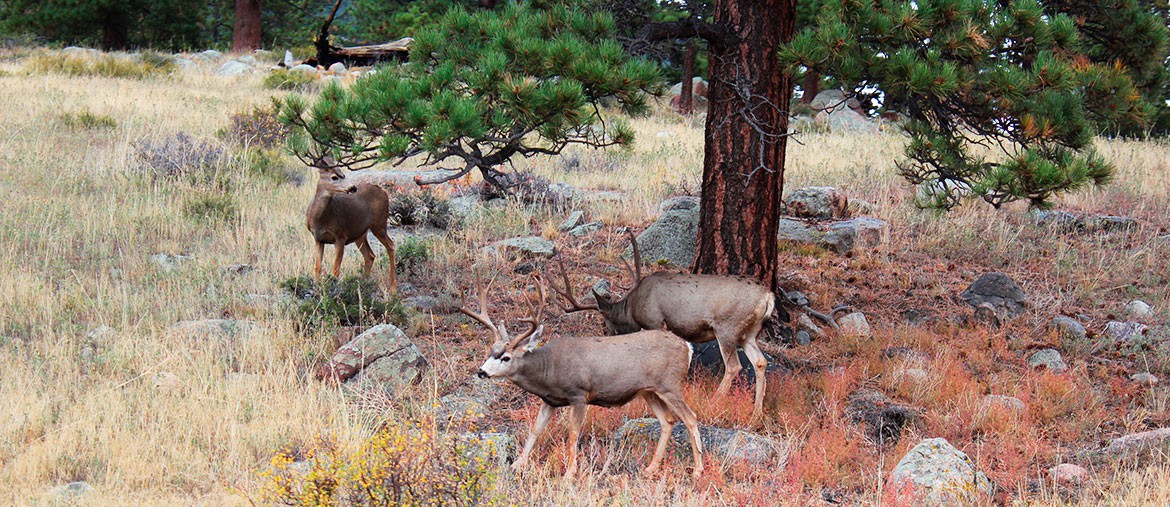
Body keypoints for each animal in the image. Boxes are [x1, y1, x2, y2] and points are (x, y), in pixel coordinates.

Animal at [306, 160, 397, 290]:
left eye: (343, 174)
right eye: (334, 177)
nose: (353, 187)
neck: (320, 219)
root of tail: (383, 191)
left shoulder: (340, 236)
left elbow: (335, 269)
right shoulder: (318, 239)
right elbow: (317, 267)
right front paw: (317, 288)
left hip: (379, 224)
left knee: (390, 245)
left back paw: (393, 288)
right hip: (360, 233)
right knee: (370, 255)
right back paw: (364, 283)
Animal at [460, 275, 702, 475]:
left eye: (506, 357)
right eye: (491, 351)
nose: (481, 372)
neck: (549, 370)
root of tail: (687, 347)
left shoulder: (578, 394)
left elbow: (573, 432)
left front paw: (570, 473)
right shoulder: (550, 400)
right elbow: (536, 429)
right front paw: (518, 464)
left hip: (670, 384)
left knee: (690, 417)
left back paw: (698, 470)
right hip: (649, 391)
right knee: (668, 421)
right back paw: (651, 468)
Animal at [545, 230, 776, 416]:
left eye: (606, 323)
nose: (608, 337)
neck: (633, 307)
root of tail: (768, 297)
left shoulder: (655, 320)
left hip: (727, 326)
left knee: (734, 365)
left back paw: (716, 400)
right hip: (749, 333)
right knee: (760, 362)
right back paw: (756, 414)